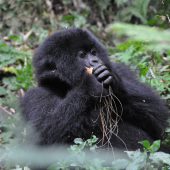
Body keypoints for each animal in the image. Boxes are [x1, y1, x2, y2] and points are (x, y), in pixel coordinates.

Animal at [21, 28, 169, 150]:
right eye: (82, 55)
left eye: (93, 52)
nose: (95, 61)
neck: (66, 85)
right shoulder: (33, 96)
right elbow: (44, 136)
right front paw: (90, 86)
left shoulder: (122, 70)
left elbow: (159, 122)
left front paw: (114, 83)